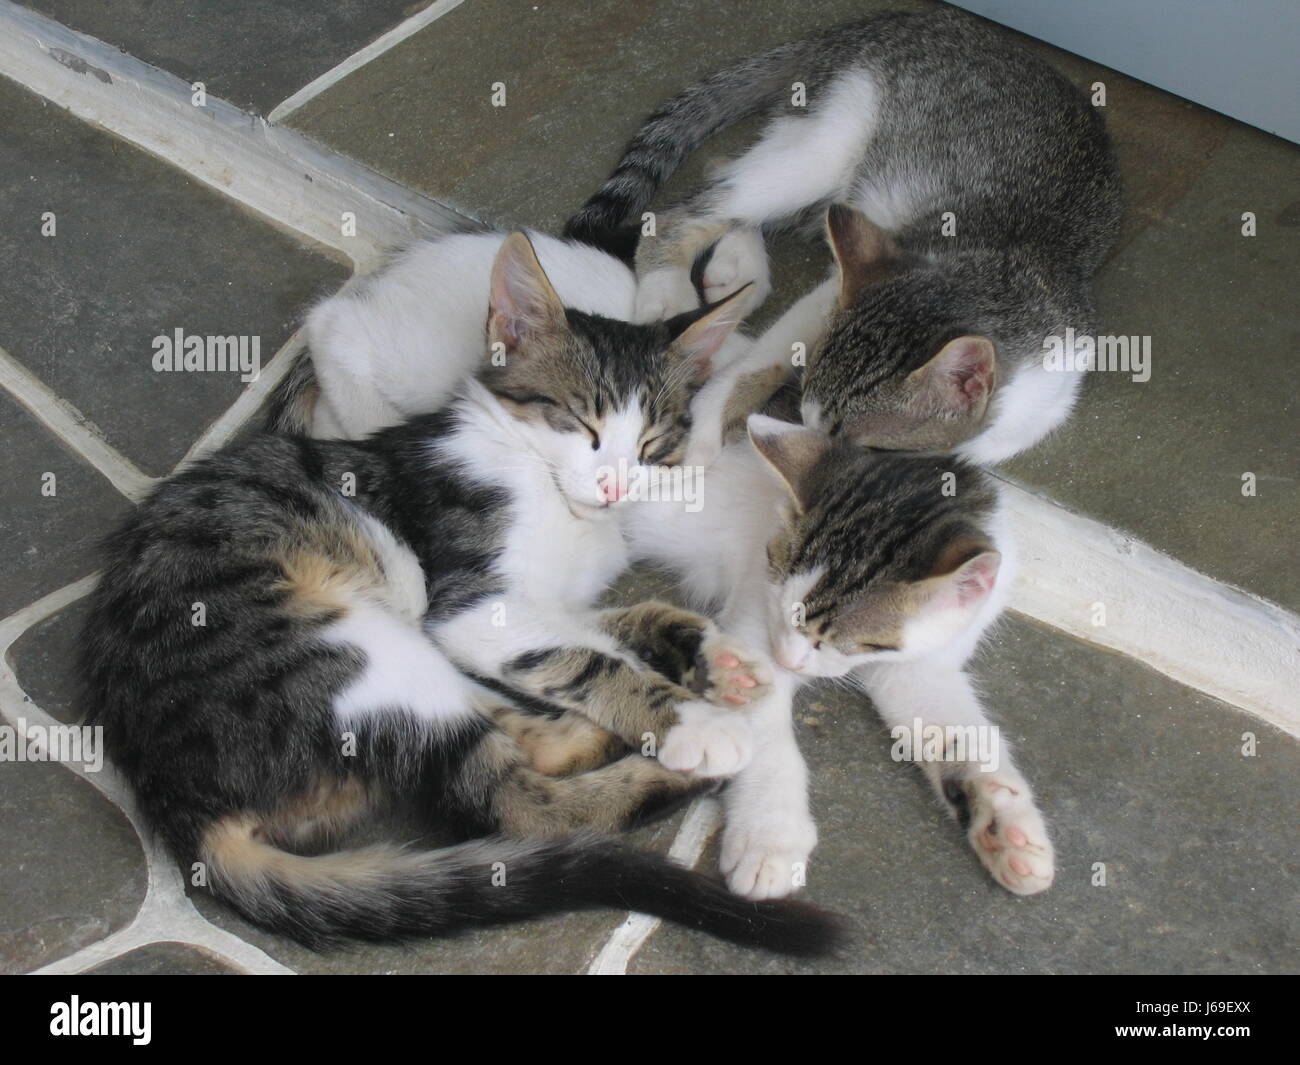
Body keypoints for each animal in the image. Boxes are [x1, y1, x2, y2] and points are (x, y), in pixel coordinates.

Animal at [78, 232, 842, 957]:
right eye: (582, 423)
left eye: (653, 443)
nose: (615, 486)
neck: (548, 490)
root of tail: (179, 805)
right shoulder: (470, 604)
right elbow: (587, 658)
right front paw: (693, 722)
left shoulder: (554, 601)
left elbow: (619, 621)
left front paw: (720, 659)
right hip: (341, 644)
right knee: (519, 806)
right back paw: (695, 764)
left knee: (524, 744)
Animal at [564, 7, 1123, 465]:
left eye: (850, 437)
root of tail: (884, 21)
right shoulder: (847, 285)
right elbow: (767, 354)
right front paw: (706, 425)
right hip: (832, 138)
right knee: (696, 203)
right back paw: (670, 289)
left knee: (739, 179)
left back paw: (738, 268)